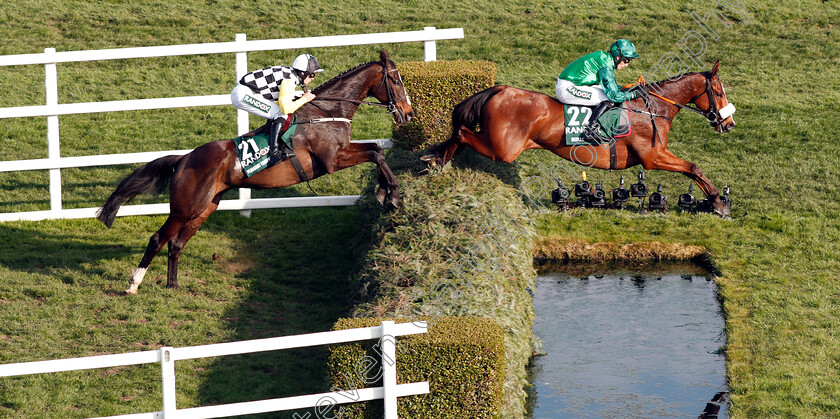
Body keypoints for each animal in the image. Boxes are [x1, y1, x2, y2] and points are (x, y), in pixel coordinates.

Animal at [98, 50, 414, 296]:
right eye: (396, 79)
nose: (409, 114)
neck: (327, 110)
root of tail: (185, 158)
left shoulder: (342, 152)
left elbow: (376, 149)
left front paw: (385, 192)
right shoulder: (331, 160)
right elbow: (376, 153)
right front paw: (392, 194)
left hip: (205, 208)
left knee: (175, 244)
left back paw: (172, 286)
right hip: (184, 207)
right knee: (158, 239)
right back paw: (133, 284)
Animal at [420, 61, 736, 217]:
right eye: (719, 92)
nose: (729, 124)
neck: (652, 108)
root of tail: (499, 89)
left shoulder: (655, 156)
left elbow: (693, 171)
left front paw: (716, 201)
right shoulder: (652, 157)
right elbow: (694, 168)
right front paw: (719, 203)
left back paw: (434, 157)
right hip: (504, 150)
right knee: (462, 132)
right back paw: (437, 160)